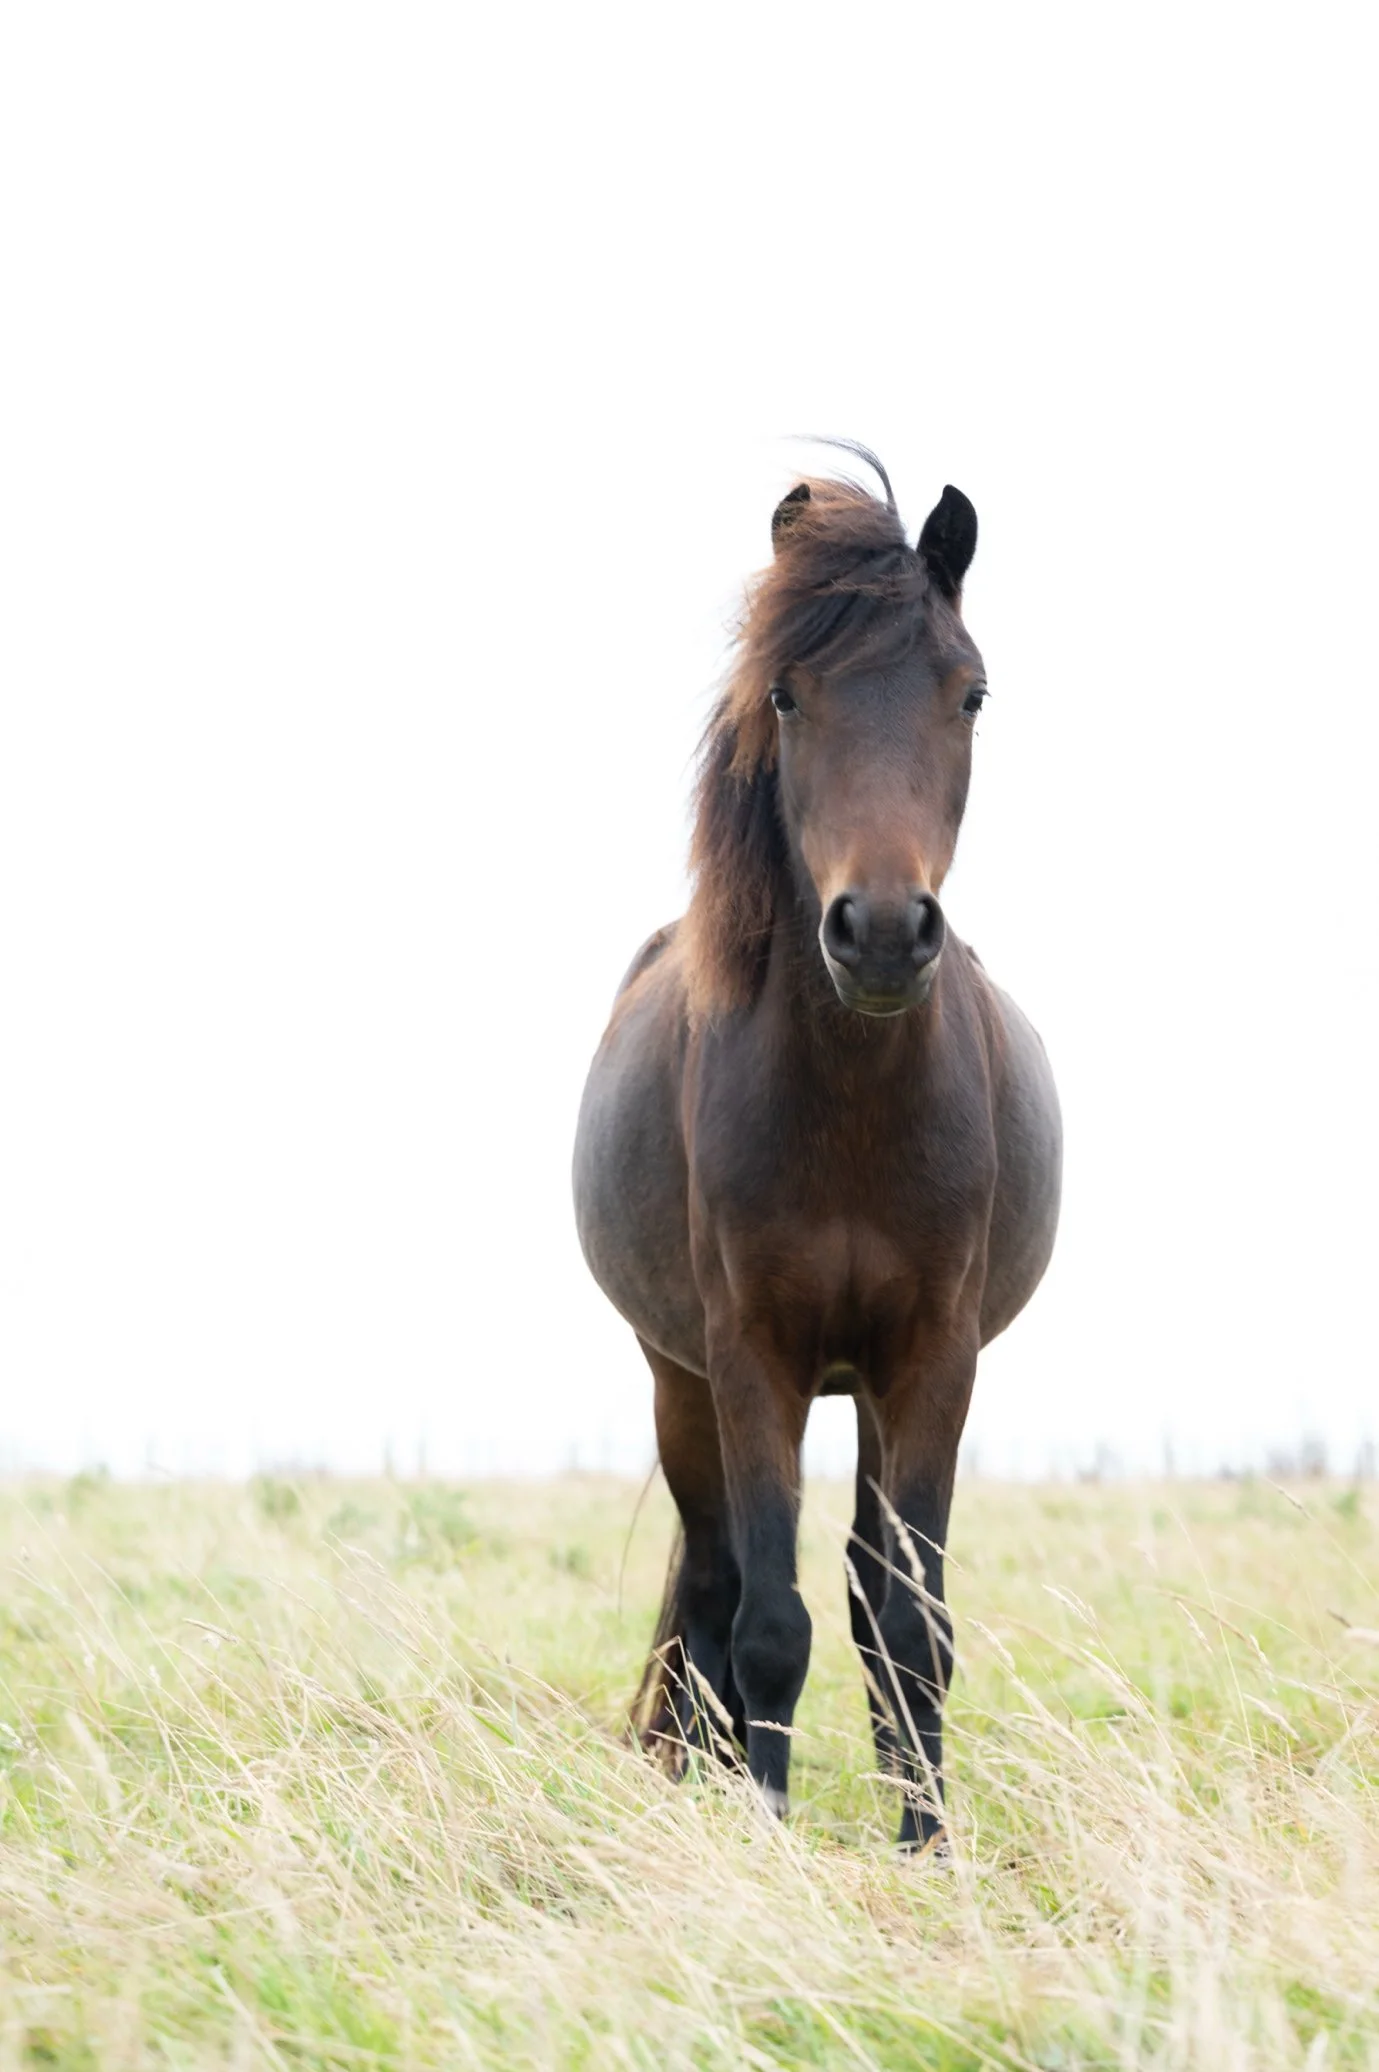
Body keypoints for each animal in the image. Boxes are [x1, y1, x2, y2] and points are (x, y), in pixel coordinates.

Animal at [573, 446, 1061, 1849]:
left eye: (970, 690)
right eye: (787, 695)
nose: (883, 931)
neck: (849, 1102)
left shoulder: (931, 1361)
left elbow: (910, 1621)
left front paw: (927, 1843)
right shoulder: (751, 1361)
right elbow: (765, 1626)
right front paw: (769, 1833)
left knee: (859, 1589)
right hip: (679, 1381)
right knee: (713, 1591)